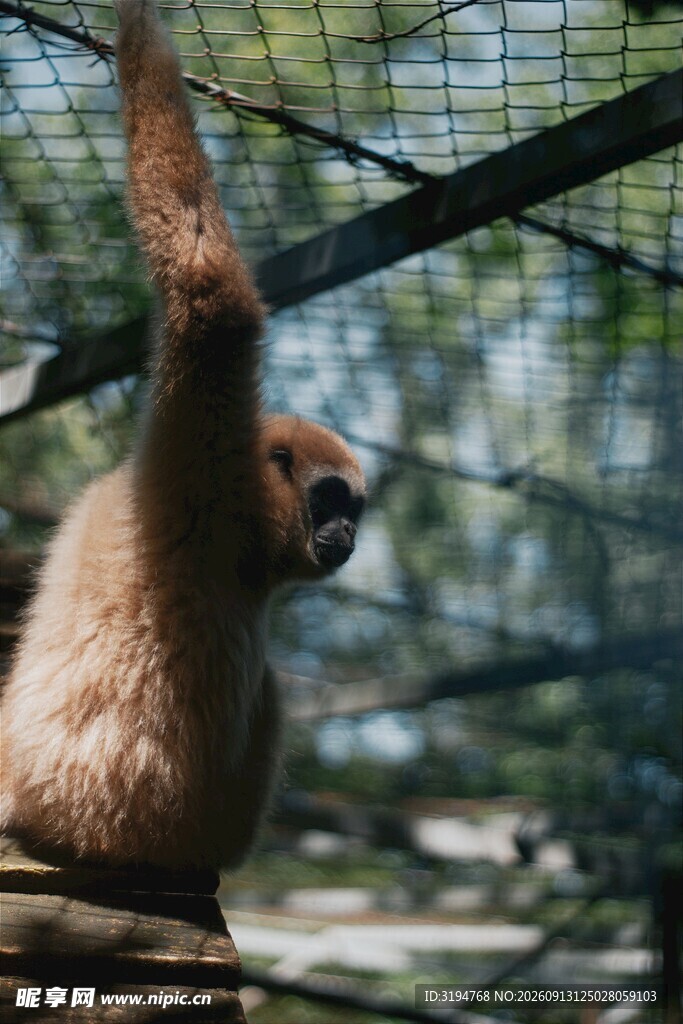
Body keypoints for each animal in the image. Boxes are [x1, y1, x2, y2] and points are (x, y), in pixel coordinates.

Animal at [0, 0, 366, 871]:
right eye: (330, 500)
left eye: (354, 511)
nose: (345, 533)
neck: (246, 523)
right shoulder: (202, 451)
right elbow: (214, 302)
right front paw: (137, 20)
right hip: (160, 826)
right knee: (268, 690)